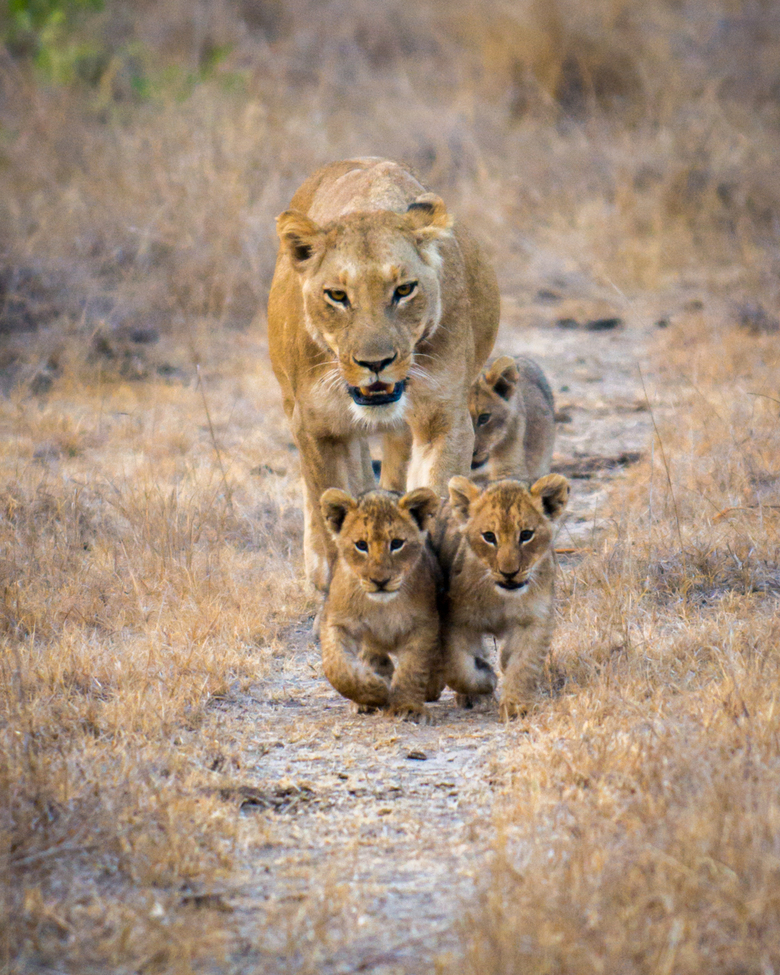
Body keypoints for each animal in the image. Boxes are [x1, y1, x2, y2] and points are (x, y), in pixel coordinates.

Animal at [268, 158, 500, 591]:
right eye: (337, 296)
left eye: (404, 289)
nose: (375, 363)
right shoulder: (316, 427)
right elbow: (328, 500)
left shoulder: (444, 420)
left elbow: (434, 494)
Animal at [318, 486, 446, 718]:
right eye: (361, 545)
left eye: (396, 543)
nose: (380, 581)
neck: (381, 605)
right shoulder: (336, 621)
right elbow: (337, 668)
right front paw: (376, 691)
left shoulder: (424, 623)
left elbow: (413, 667)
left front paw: (407, 707)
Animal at [431, 473, 569, 717]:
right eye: (489, 537)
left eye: (526, 535)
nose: (509, 573)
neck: (501, 597)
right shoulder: (456, 621)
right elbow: (458, 668)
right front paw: (485, 679)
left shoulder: (534, 619)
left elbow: (525, 662)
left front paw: (517, 704)